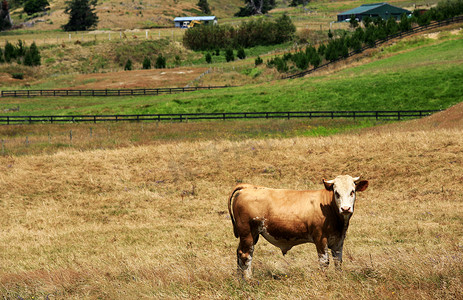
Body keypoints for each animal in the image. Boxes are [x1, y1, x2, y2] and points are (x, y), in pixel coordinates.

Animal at [228, 176, 370, 278]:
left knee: (239, 253)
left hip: (250, 235)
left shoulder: (338, 240)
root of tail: (248, 187)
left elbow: (338, 261)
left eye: (352, 192)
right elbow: (324, 261)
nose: (345, 208)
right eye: (336, 193)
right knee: (246, 255)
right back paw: (248, 279)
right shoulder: (320, 238)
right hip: (247, 232)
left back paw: (240, 278)